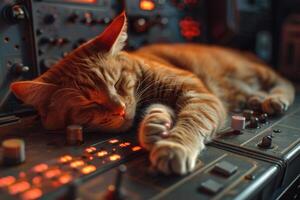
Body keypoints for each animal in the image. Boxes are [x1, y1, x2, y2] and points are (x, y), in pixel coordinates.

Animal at [10, 12, 294, 175]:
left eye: (117, 83)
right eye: (89, 103)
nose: (120, 109)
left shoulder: (198, 93)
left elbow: (192, 120)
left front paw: (174, 145)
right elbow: (156, 109)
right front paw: (155, 127)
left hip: (255, 72)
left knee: (287, 82)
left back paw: (275, 98)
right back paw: (257, 98)